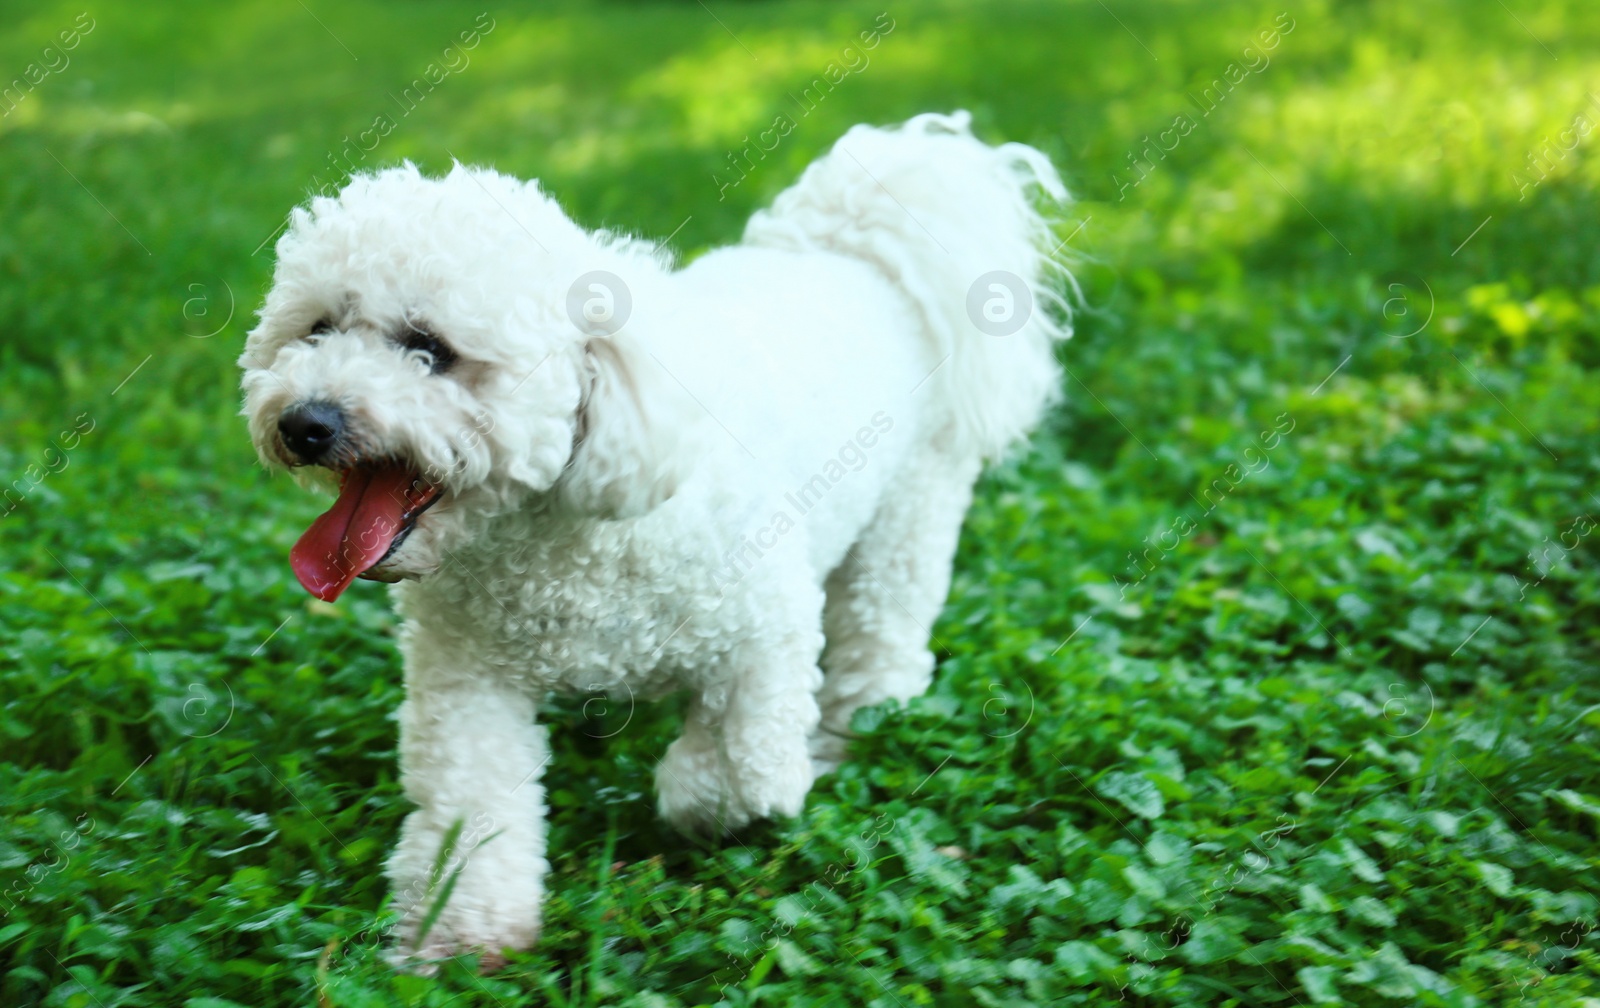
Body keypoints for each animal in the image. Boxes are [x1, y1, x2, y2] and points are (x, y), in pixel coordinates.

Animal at [236, 108, 1075, 966]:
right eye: (317, 329)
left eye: (429, 348)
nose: (304, 422)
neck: (555, 532)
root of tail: (856, 249)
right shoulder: (467, 678)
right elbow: (470, 801)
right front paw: (464, 934)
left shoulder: (765, 633)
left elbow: (738, 772)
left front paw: (706, 802)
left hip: (909, 513)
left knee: (884, 633)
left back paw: (855, 730)